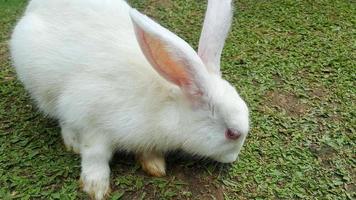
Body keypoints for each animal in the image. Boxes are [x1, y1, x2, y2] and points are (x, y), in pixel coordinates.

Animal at [11, 0, 250, 198]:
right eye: (232, 133)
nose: (233, 158)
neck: (165, 104)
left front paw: (154, 164)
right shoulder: (91, 120)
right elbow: (94, 154)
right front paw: (96, 187)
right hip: (43, 87)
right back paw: (72, 142)